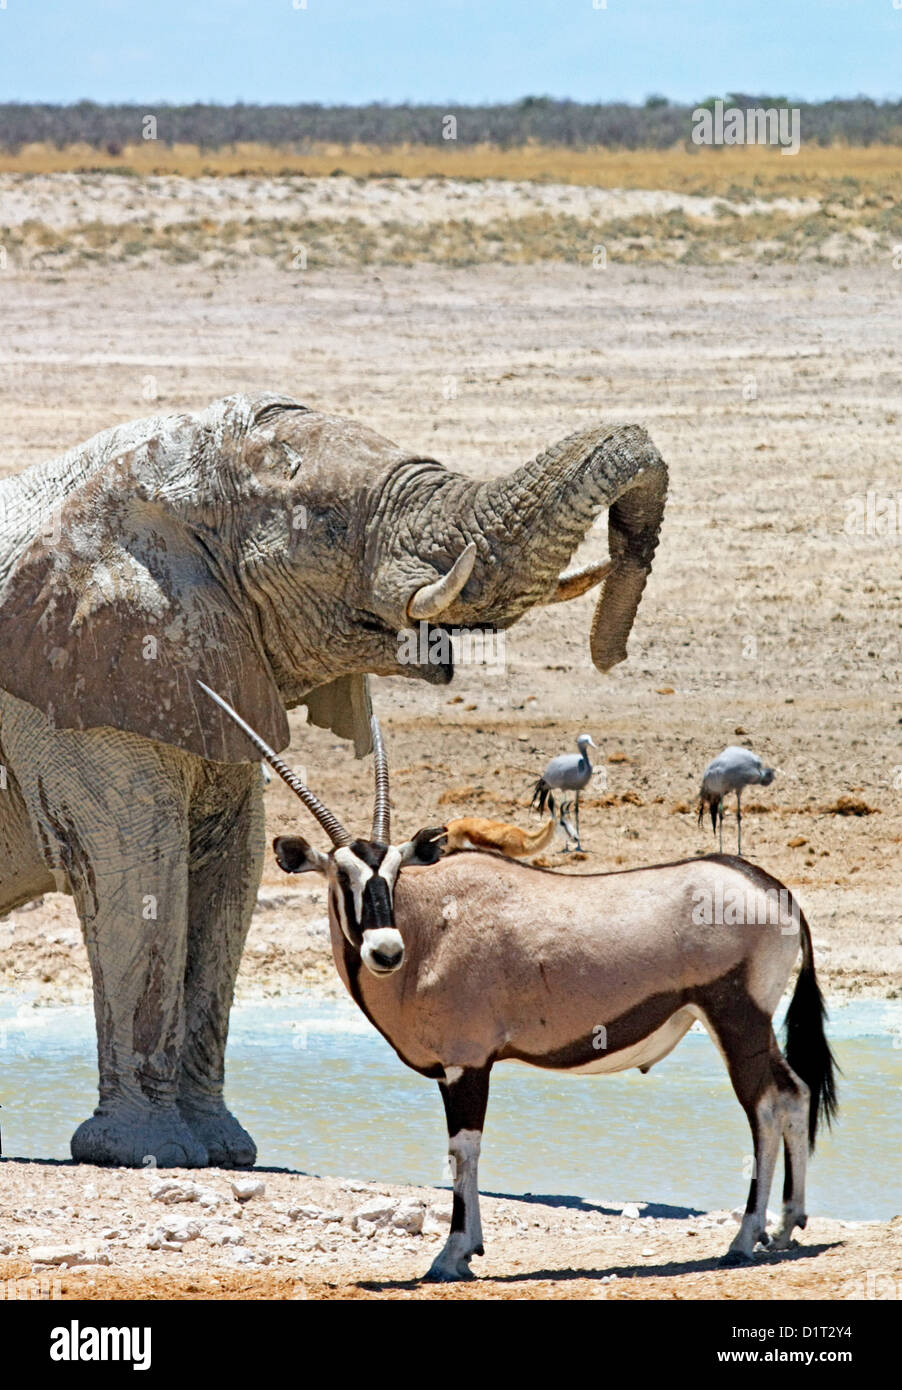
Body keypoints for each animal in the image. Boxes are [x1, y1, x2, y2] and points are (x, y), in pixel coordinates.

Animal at [0, 394, 661, 1173]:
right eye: (327, 525)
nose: (610, 655)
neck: (136, 474)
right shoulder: (74, 687)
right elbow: (140, 870)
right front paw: (147, 1154)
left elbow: (231, 876)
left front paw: (224, 1151)